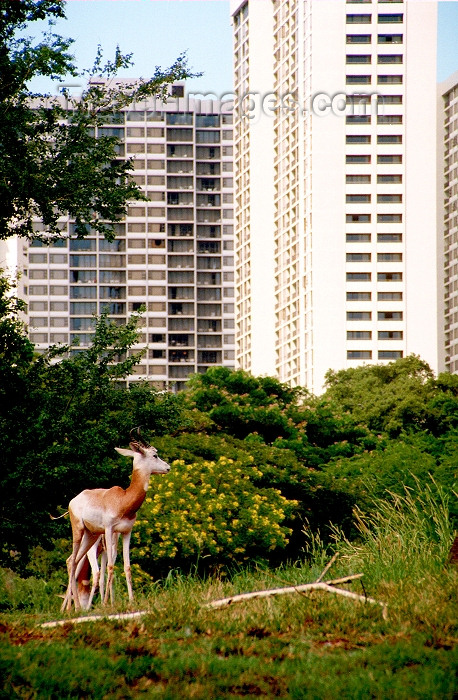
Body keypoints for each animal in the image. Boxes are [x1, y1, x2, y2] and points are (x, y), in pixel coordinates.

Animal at [62, 430, 170, 608]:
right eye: (155, 454)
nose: (168, 467)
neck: (123, 500)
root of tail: (74, 500)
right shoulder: (109, 529)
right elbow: (111, 566)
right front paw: (107, 603)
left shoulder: (126, 532)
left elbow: (127, 566)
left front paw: (132, 600)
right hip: (79, 531)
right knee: (73, 562)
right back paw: (75, 607)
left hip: (91, 536)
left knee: (73, 561)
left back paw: (76, 608)